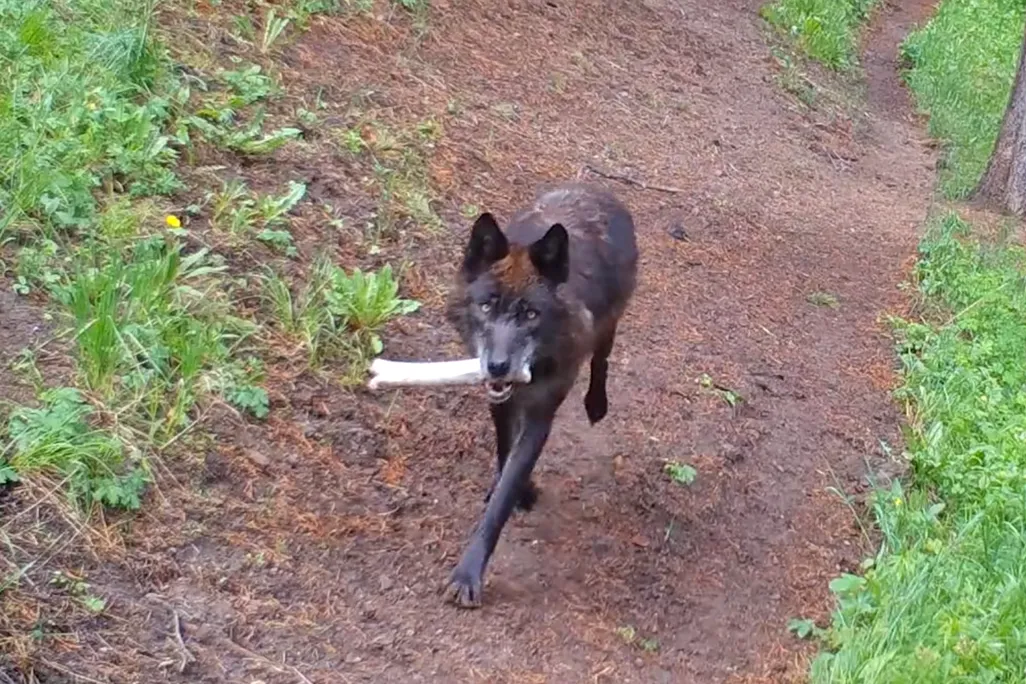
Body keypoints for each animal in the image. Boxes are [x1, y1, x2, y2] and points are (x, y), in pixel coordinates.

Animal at [443, 182, 638, 607]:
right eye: (487, 306)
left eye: (531, 314)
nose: (498, 366)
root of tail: (594, 188)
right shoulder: (500, 403)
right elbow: (505, 453)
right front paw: (514, 488)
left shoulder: (541, 415)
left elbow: (504, 496)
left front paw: (468, 574)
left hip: (610, 325)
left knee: (602, 360)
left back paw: (596, 404)